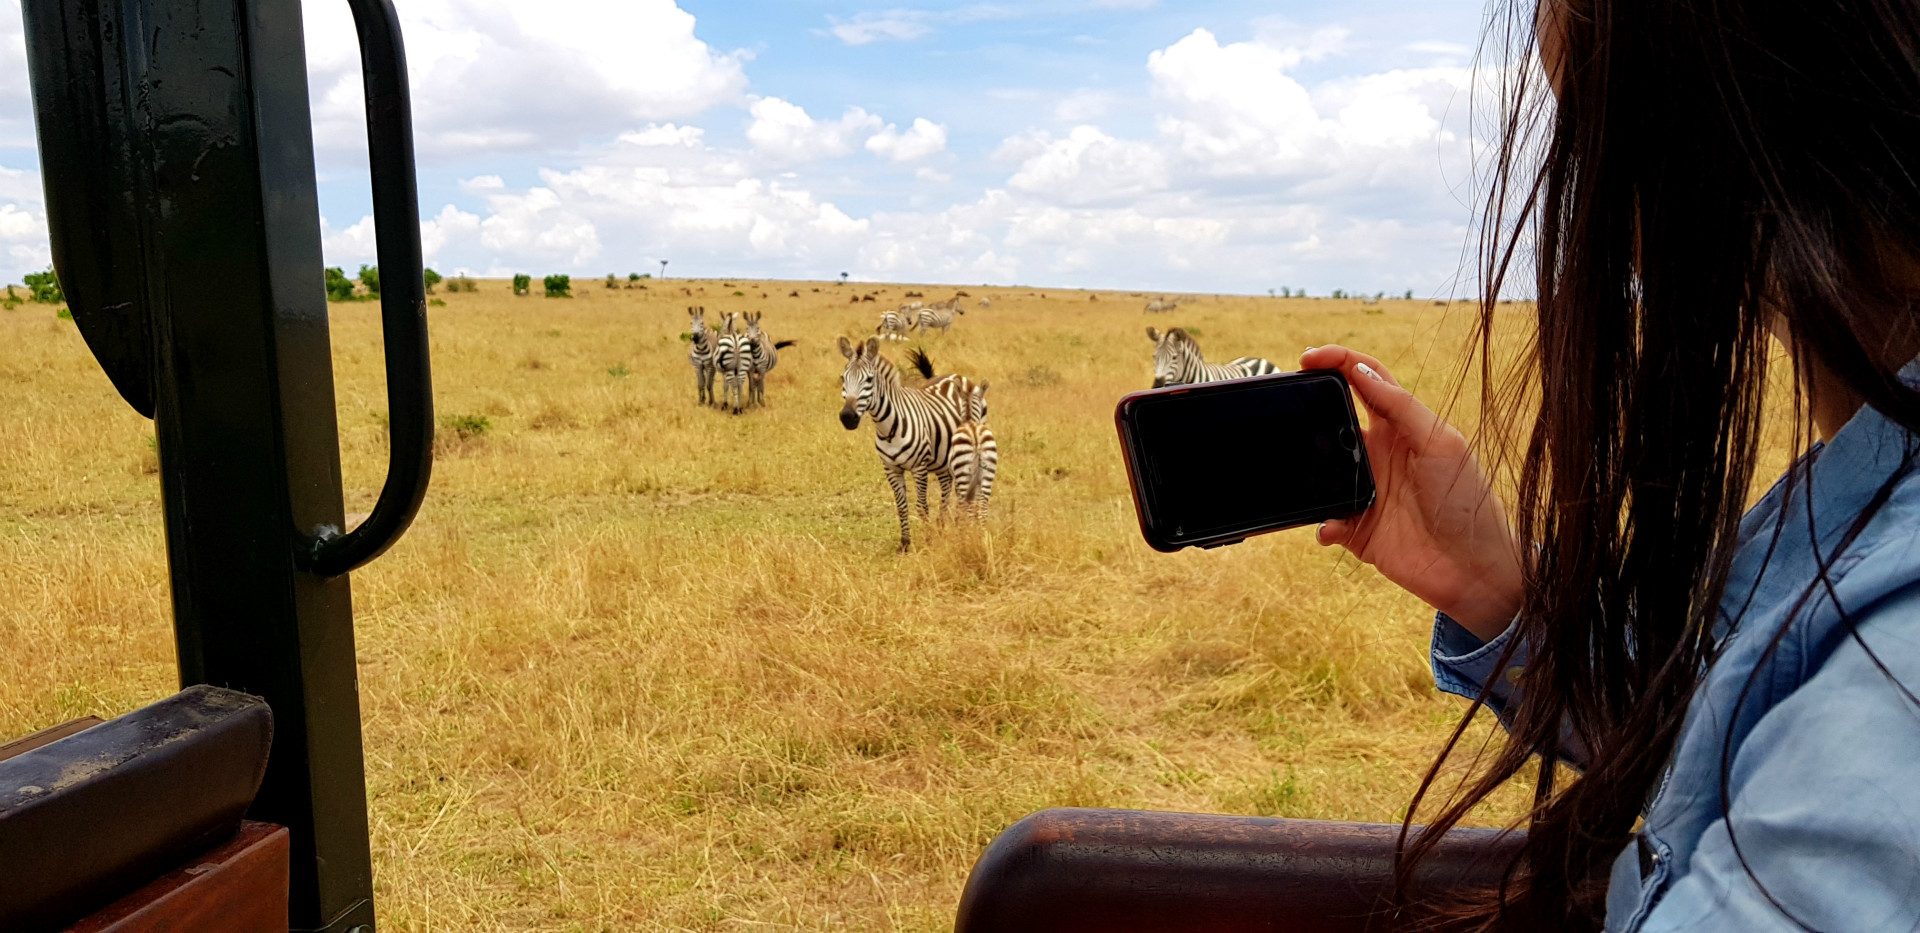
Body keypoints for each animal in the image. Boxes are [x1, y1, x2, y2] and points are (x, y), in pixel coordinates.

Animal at [833, 339, 967, 549]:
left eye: (869, 380)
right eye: (842, 378)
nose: (847, 417)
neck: (888, 428)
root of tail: (952, 375)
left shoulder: (919, 467)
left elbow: (921, 506)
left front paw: (927, 540)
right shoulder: (891, 469)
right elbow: (902, 506)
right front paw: (905, 543)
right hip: (941, 457)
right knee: (946, 485)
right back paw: (941, 526)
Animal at [948, 382, 998, 522]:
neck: (970, 420)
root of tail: (975, 434)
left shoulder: (957, 480)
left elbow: (962, 504)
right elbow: (977, 504)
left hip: (963, 475)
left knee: (967, 505)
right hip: (988, 473)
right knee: (983, 507)